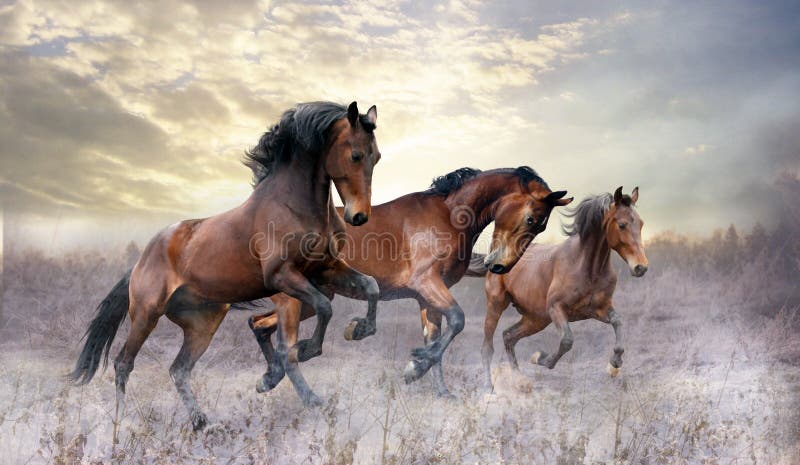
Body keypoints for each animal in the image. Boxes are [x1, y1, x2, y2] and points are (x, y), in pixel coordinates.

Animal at [69, 99, 382, 430]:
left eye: (376, 157)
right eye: (355, 155)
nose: (359, 216)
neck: (294, 204)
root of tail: (140, 260)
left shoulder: (327, 268)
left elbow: (370, 286)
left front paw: (359, 329)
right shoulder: (281, 276)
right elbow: (323, 309)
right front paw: (307, 350)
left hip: (203, 324)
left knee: (179, 369)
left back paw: (201, 422)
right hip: (146, 314)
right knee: (123, 363)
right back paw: (121, 424)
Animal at [247, 165, 572, 396]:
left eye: (541, 227)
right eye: (532, 219)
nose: (501, 266)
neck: (449, 215)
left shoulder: (426, 297)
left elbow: (437, 336)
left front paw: (440, 390)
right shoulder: (427, 282)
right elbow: (457, 320)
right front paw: (414, 367)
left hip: (310, 301)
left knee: (259, 325)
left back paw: (268, 379)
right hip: (295, 300)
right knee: (284, 348)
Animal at [478, 187, 648, 390]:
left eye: (641, 223)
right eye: (622, 225)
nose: (641, 267)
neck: (587, 268)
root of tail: (494, 260)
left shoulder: (598, 309)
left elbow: (618, 322)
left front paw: (614, 365)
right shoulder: (556, 308)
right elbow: (567, 340)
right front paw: (540, 358)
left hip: (536, 319)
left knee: (509, 336)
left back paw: (520, 380)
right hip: (496, 305)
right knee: (487, 347)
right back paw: (489, 387)